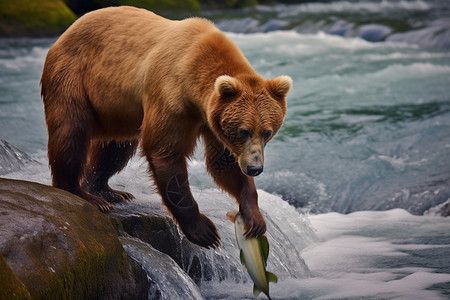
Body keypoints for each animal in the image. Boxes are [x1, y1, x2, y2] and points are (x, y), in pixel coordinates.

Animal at [41, 6, 292, 248]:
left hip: (116, 108)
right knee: (71, 133)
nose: (255, 168)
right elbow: (165, 153)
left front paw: (254, 219)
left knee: (116, 147)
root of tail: (67, 31)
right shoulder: (171, 97)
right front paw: (204, 231)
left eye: (267, 132)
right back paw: (82, 193)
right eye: (243, 131)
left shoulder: (213, 122)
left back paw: (108, 190)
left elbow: (223, 162)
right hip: (73, 77)